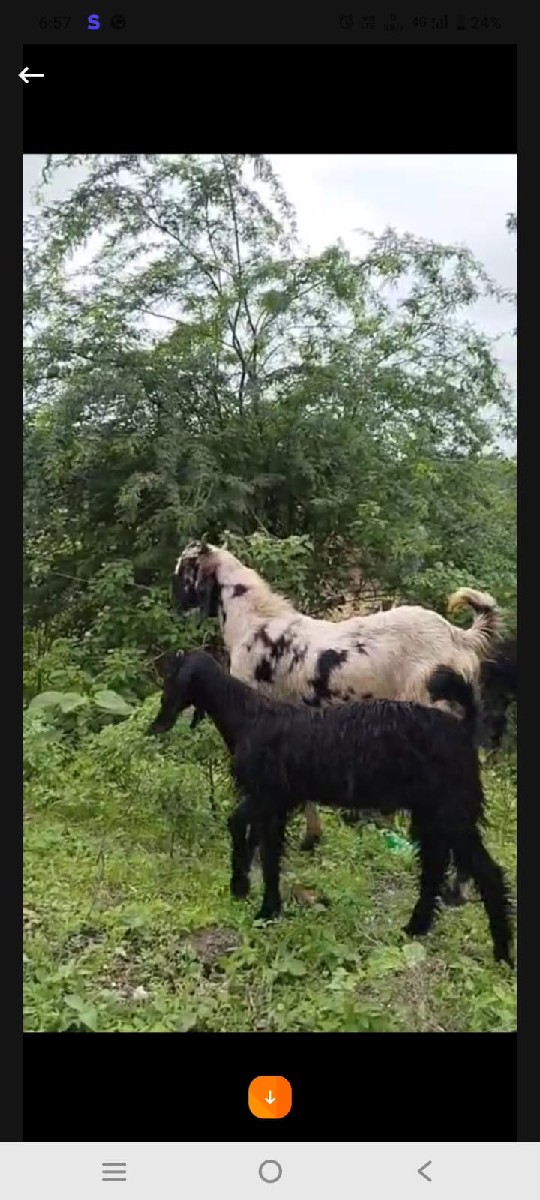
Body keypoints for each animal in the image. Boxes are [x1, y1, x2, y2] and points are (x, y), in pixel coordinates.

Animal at [146, 650, 514, 967]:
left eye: (171, 678)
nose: (154, 727)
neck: (249, 717)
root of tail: (463, 729)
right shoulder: (271, 802)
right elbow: (243, 831)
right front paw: (244, 888)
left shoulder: (269, 801)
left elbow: (264, 853)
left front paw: (265, 908)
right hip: (432, 815)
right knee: (435, 869)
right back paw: (416, 927)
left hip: (451, 813)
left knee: (488, 874)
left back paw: (501, 952)